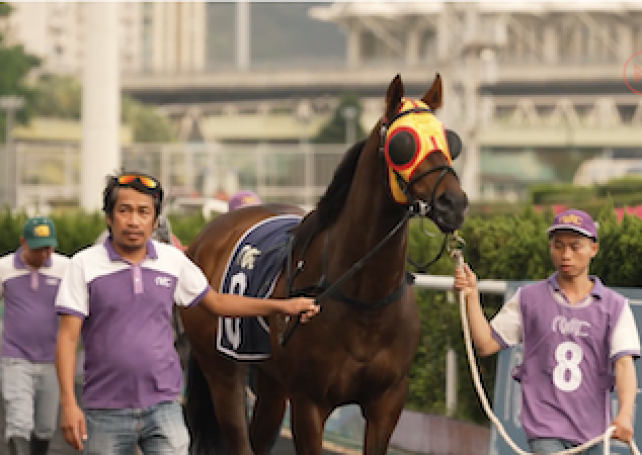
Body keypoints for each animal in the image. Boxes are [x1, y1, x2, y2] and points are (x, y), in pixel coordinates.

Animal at [180, 73, 464, 454]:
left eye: (450, 140)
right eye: (402, 144)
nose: (454, 203)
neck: (365, 302)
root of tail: (206, 236)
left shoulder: (387, 401)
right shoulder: (309, 402)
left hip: (271, 382)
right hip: (223, 372)